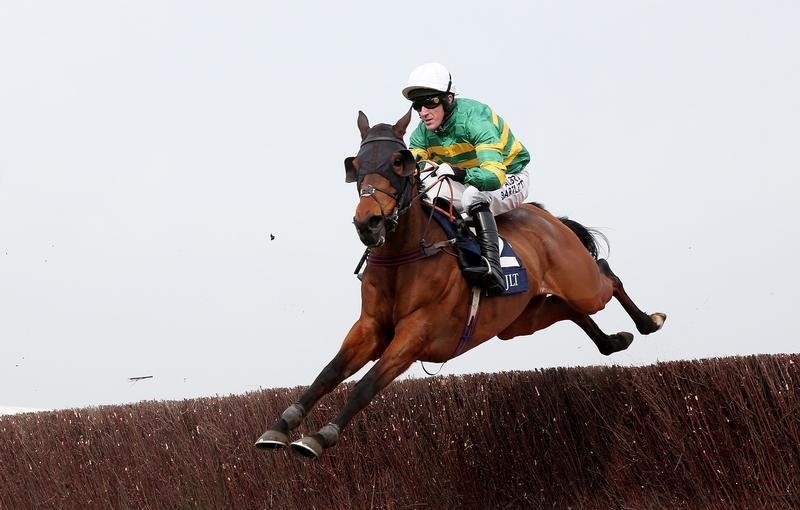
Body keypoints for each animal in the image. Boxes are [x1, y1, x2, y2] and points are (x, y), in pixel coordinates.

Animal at [256, 108, 668, 458]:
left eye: (397, 162)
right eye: (354, 165)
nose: (367, 222)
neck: (404, 258)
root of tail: (545, 216)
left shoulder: (416, 333)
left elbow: (364, 386)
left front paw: (319, 437)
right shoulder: (369, 328)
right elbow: (328, 373)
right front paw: (279, 427)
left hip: (580, 282)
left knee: (607, 276)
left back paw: (649, 321)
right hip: (519, 321)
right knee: (569, 310)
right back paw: (613, 341)